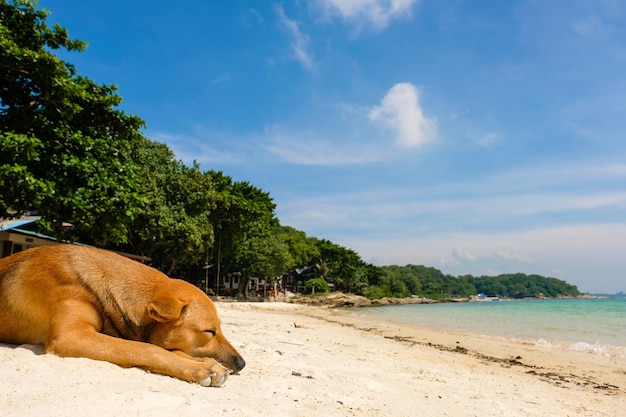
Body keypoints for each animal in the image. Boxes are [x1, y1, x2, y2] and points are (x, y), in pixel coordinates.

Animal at [0, 245, 244, 386]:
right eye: (209, 331)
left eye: (219, 328)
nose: (242, 363)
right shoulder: (69, 335)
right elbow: (147, 348)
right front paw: (199, 368)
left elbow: (163, 348)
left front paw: (206, 363)